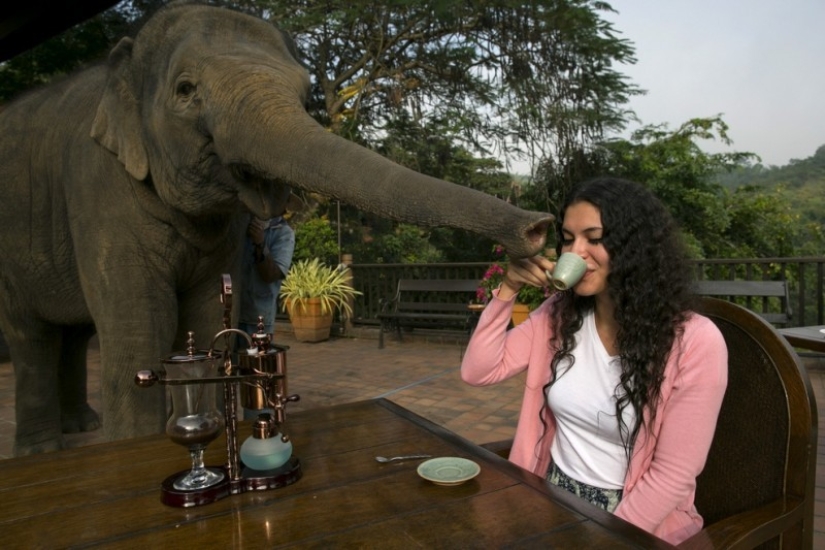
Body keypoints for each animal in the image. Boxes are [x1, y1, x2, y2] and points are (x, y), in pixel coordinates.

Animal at [0, 1, 552, 458]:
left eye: (305, 95)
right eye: (185, 90)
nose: (540, 227)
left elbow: (204, 312)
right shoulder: (98, 185)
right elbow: (140, 324)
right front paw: (133, 450)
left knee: (70, 334)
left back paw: (81, 427)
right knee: (32, 335)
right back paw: (43, 449)